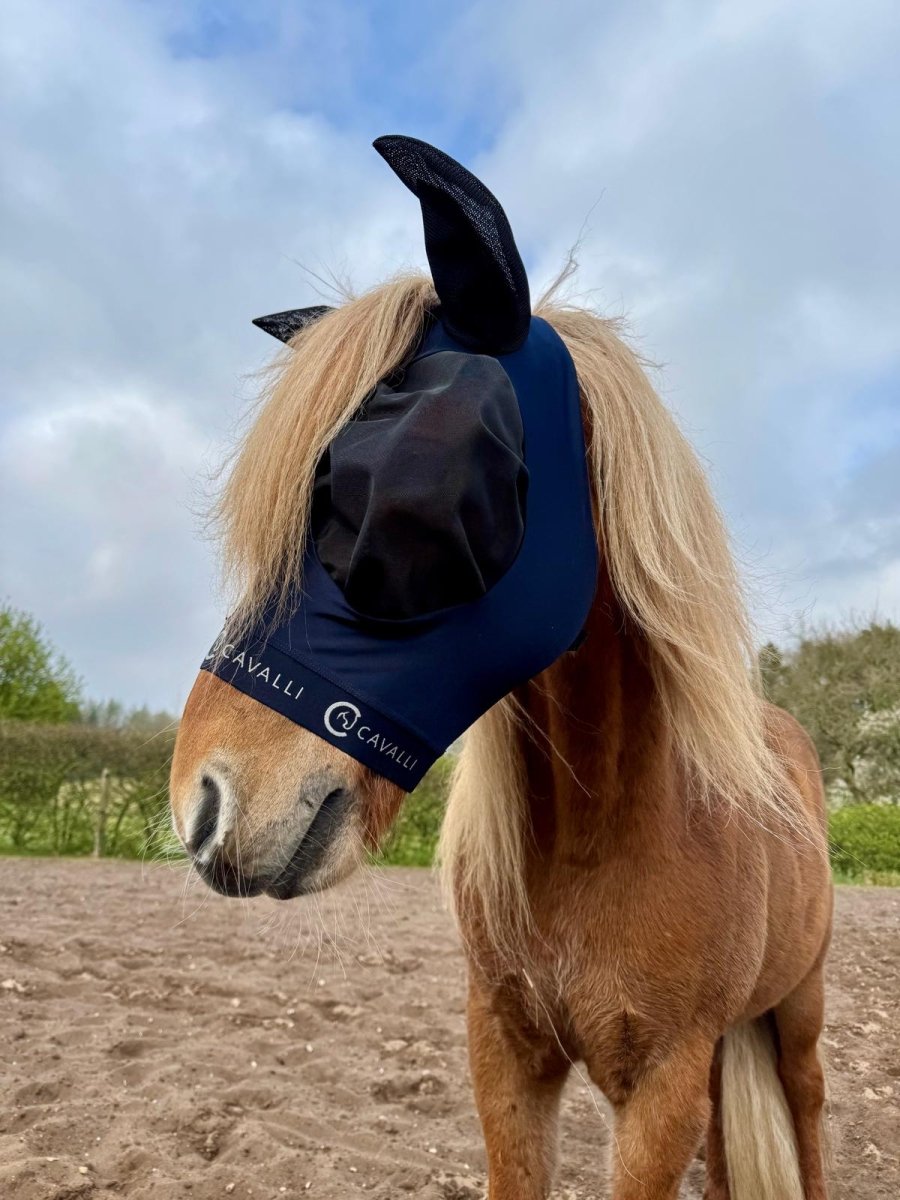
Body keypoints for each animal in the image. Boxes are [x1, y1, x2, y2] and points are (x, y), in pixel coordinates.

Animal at [170, 139, 833, 1200]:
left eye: (412, 484)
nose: (205, 803)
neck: (605, 830)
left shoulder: (664, 1086)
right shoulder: (507, 1056)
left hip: (798, 1011)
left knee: (805, 1117)